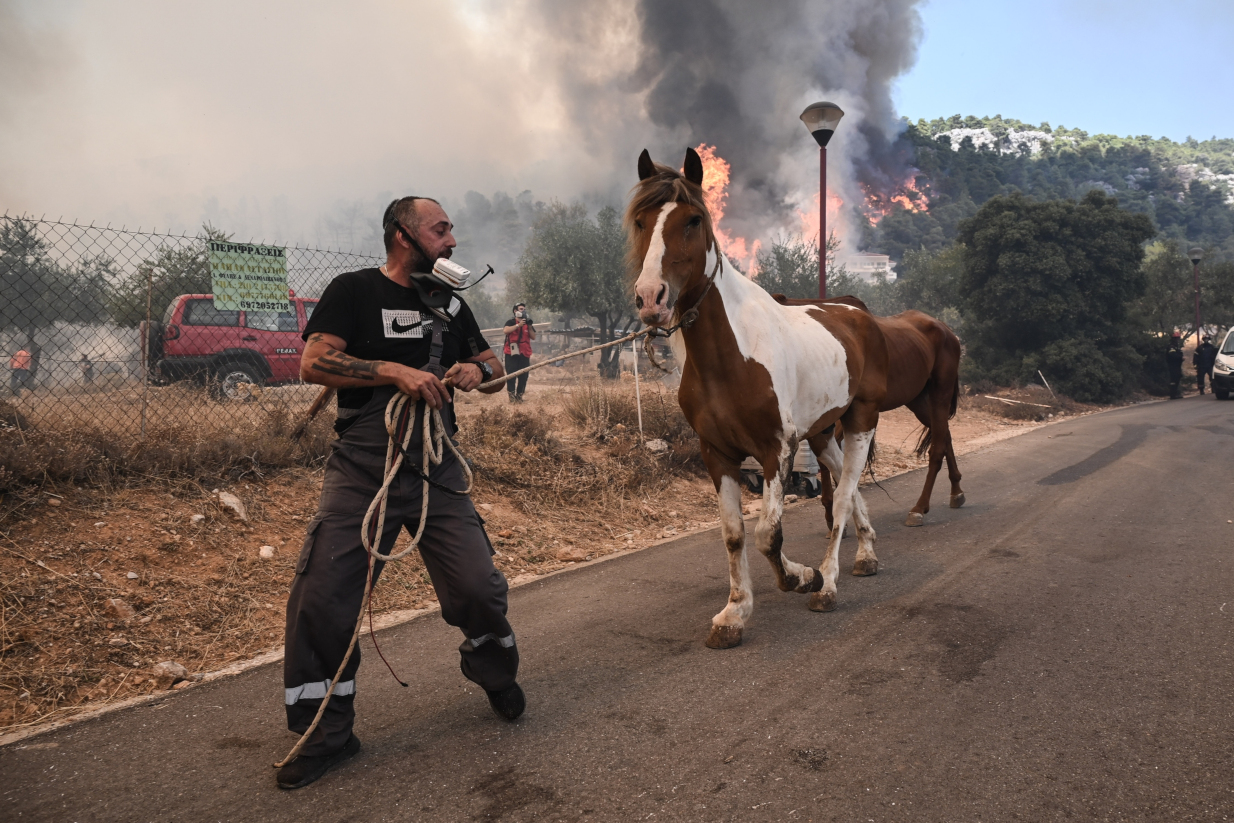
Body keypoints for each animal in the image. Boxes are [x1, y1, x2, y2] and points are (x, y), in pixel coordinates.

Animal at [626, 149, 888, 651]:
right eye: (640, 221)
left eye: (692, 220)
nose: (651, 298)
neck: (732, 355)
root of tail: (857, 312)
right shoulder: (718, 454)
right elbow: (733, 535)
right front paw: (734, 613)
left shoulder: (776, 450)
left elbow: (768, 534)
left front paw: (802, 577)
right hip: (822, 434)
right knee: (850, 492)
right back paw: (866, 555)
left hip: (860, 420)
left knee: (843, 496)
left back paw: (828, 583)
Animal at [774, 296, 967, 528]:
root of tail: (949, 332)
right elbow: (826, 460)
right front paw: (831, 515)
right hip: (917, 400)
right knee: (945, 435)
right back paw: (956, 492)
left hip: (940, 392)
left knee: (937, 447)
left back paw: (919, 509)